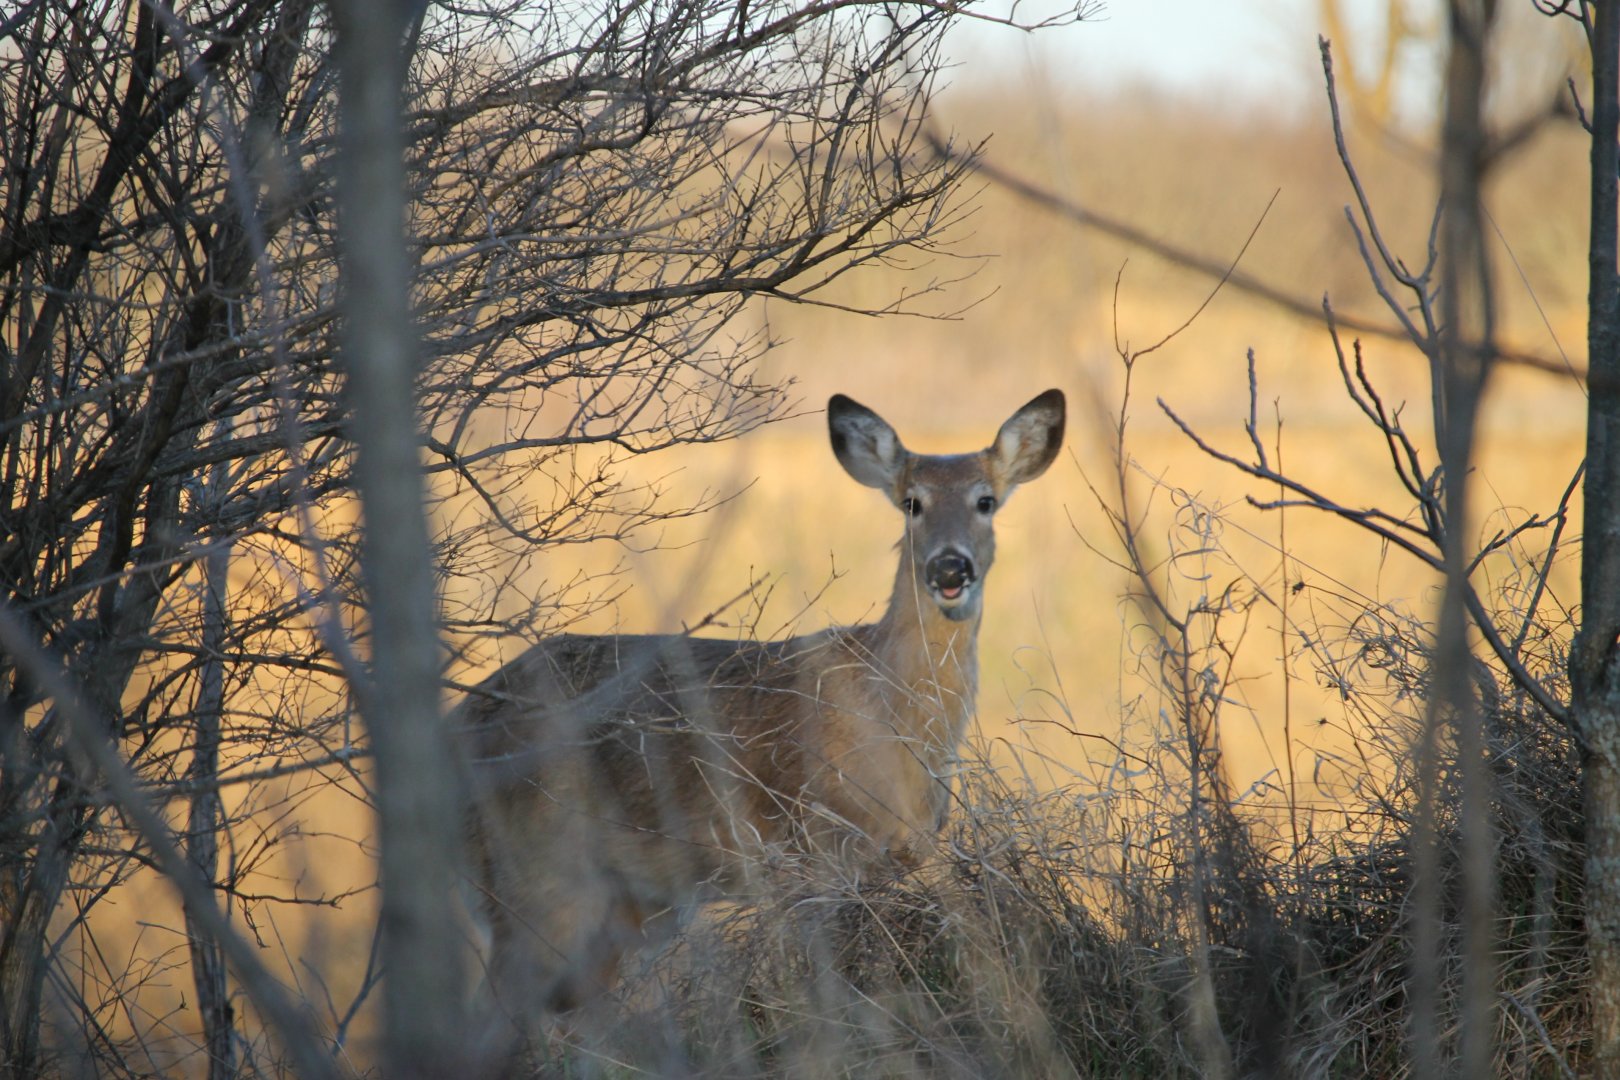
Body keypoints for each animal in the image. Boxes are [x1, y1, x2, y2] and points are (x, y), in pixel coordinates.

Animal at [459, 388, 1066, 1028]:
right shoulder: (806, 853)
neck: (891, 713)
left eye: (985, 500)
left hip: (622, 908)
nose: (950, 567)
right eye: (912, 502)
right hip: (535, 876)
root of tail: (456, 722)